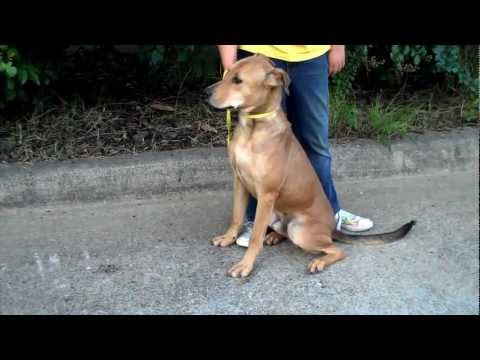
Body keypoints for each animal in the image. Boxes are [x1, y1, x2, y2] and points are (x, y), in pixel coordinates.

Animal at [204, 54, 414, 278]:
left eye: (238, 80)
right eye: (228, 74)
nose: (205, 93)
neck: (252, 129)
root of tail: (332, 228)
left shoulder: (266, 194)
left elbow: (255, 237)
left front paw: (245, 265)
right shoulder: (239, 181)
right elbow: (236, 217)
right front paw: (228, 238)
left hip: (299, 230)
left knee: (337, 250)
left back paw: (319, 261)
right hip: (275, 215)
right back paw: (275, 236)